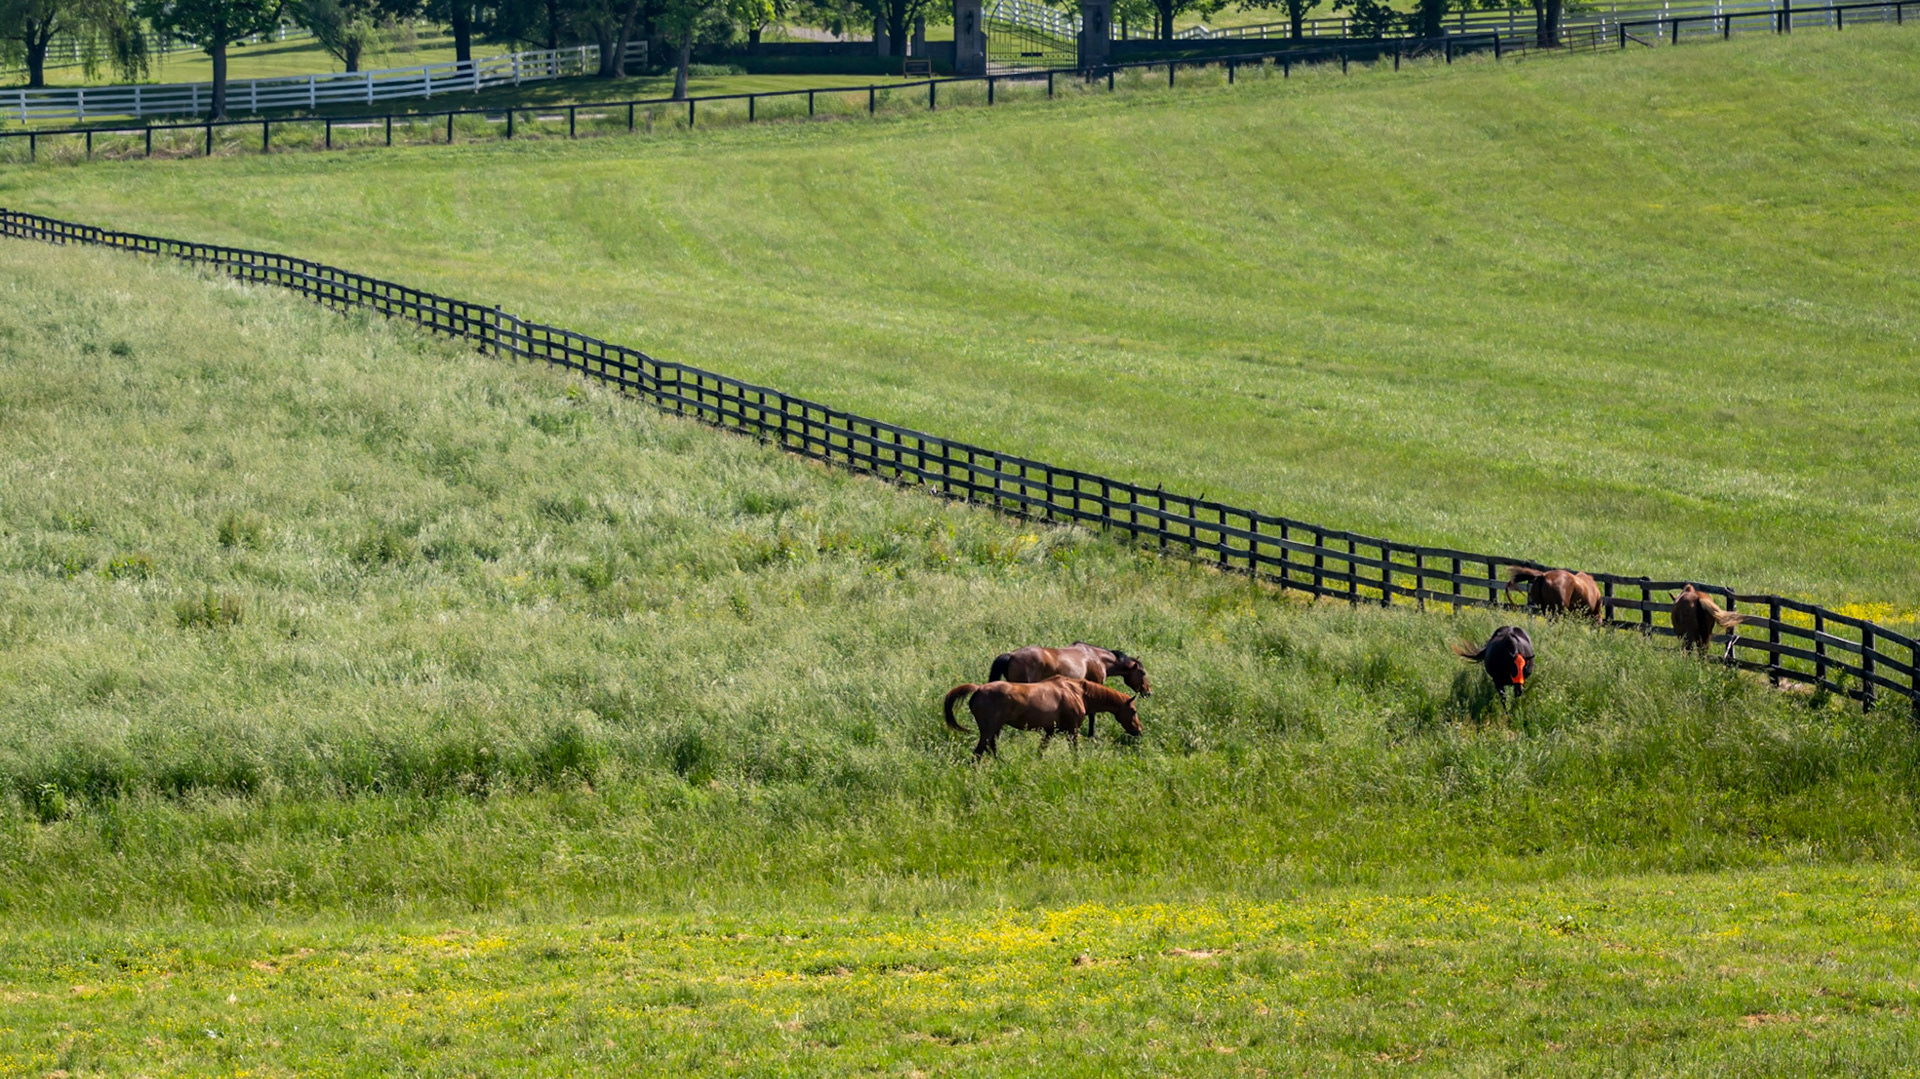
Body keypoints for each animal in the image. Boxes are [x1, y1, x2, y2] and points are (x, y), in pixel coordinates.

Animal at [943, 677, 1142, 759]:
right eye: (1133, 711)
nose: (1138, 731)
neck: (1077, 692)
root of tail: (978, 689)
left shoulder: (1050, 731)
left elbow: (1041, 751)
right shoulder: (1072, 731)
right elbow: (1075, 752)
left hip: (992, 730)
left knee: (991, 748)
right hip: (989, 730)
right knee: (977, 754)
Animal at [987, 643, 1152, 737]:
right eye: (1143, 673)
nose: (1148, 692)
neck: (1098, 658)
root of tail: (1011, 655)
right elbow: (1092, 715)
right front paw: (1091, 735)